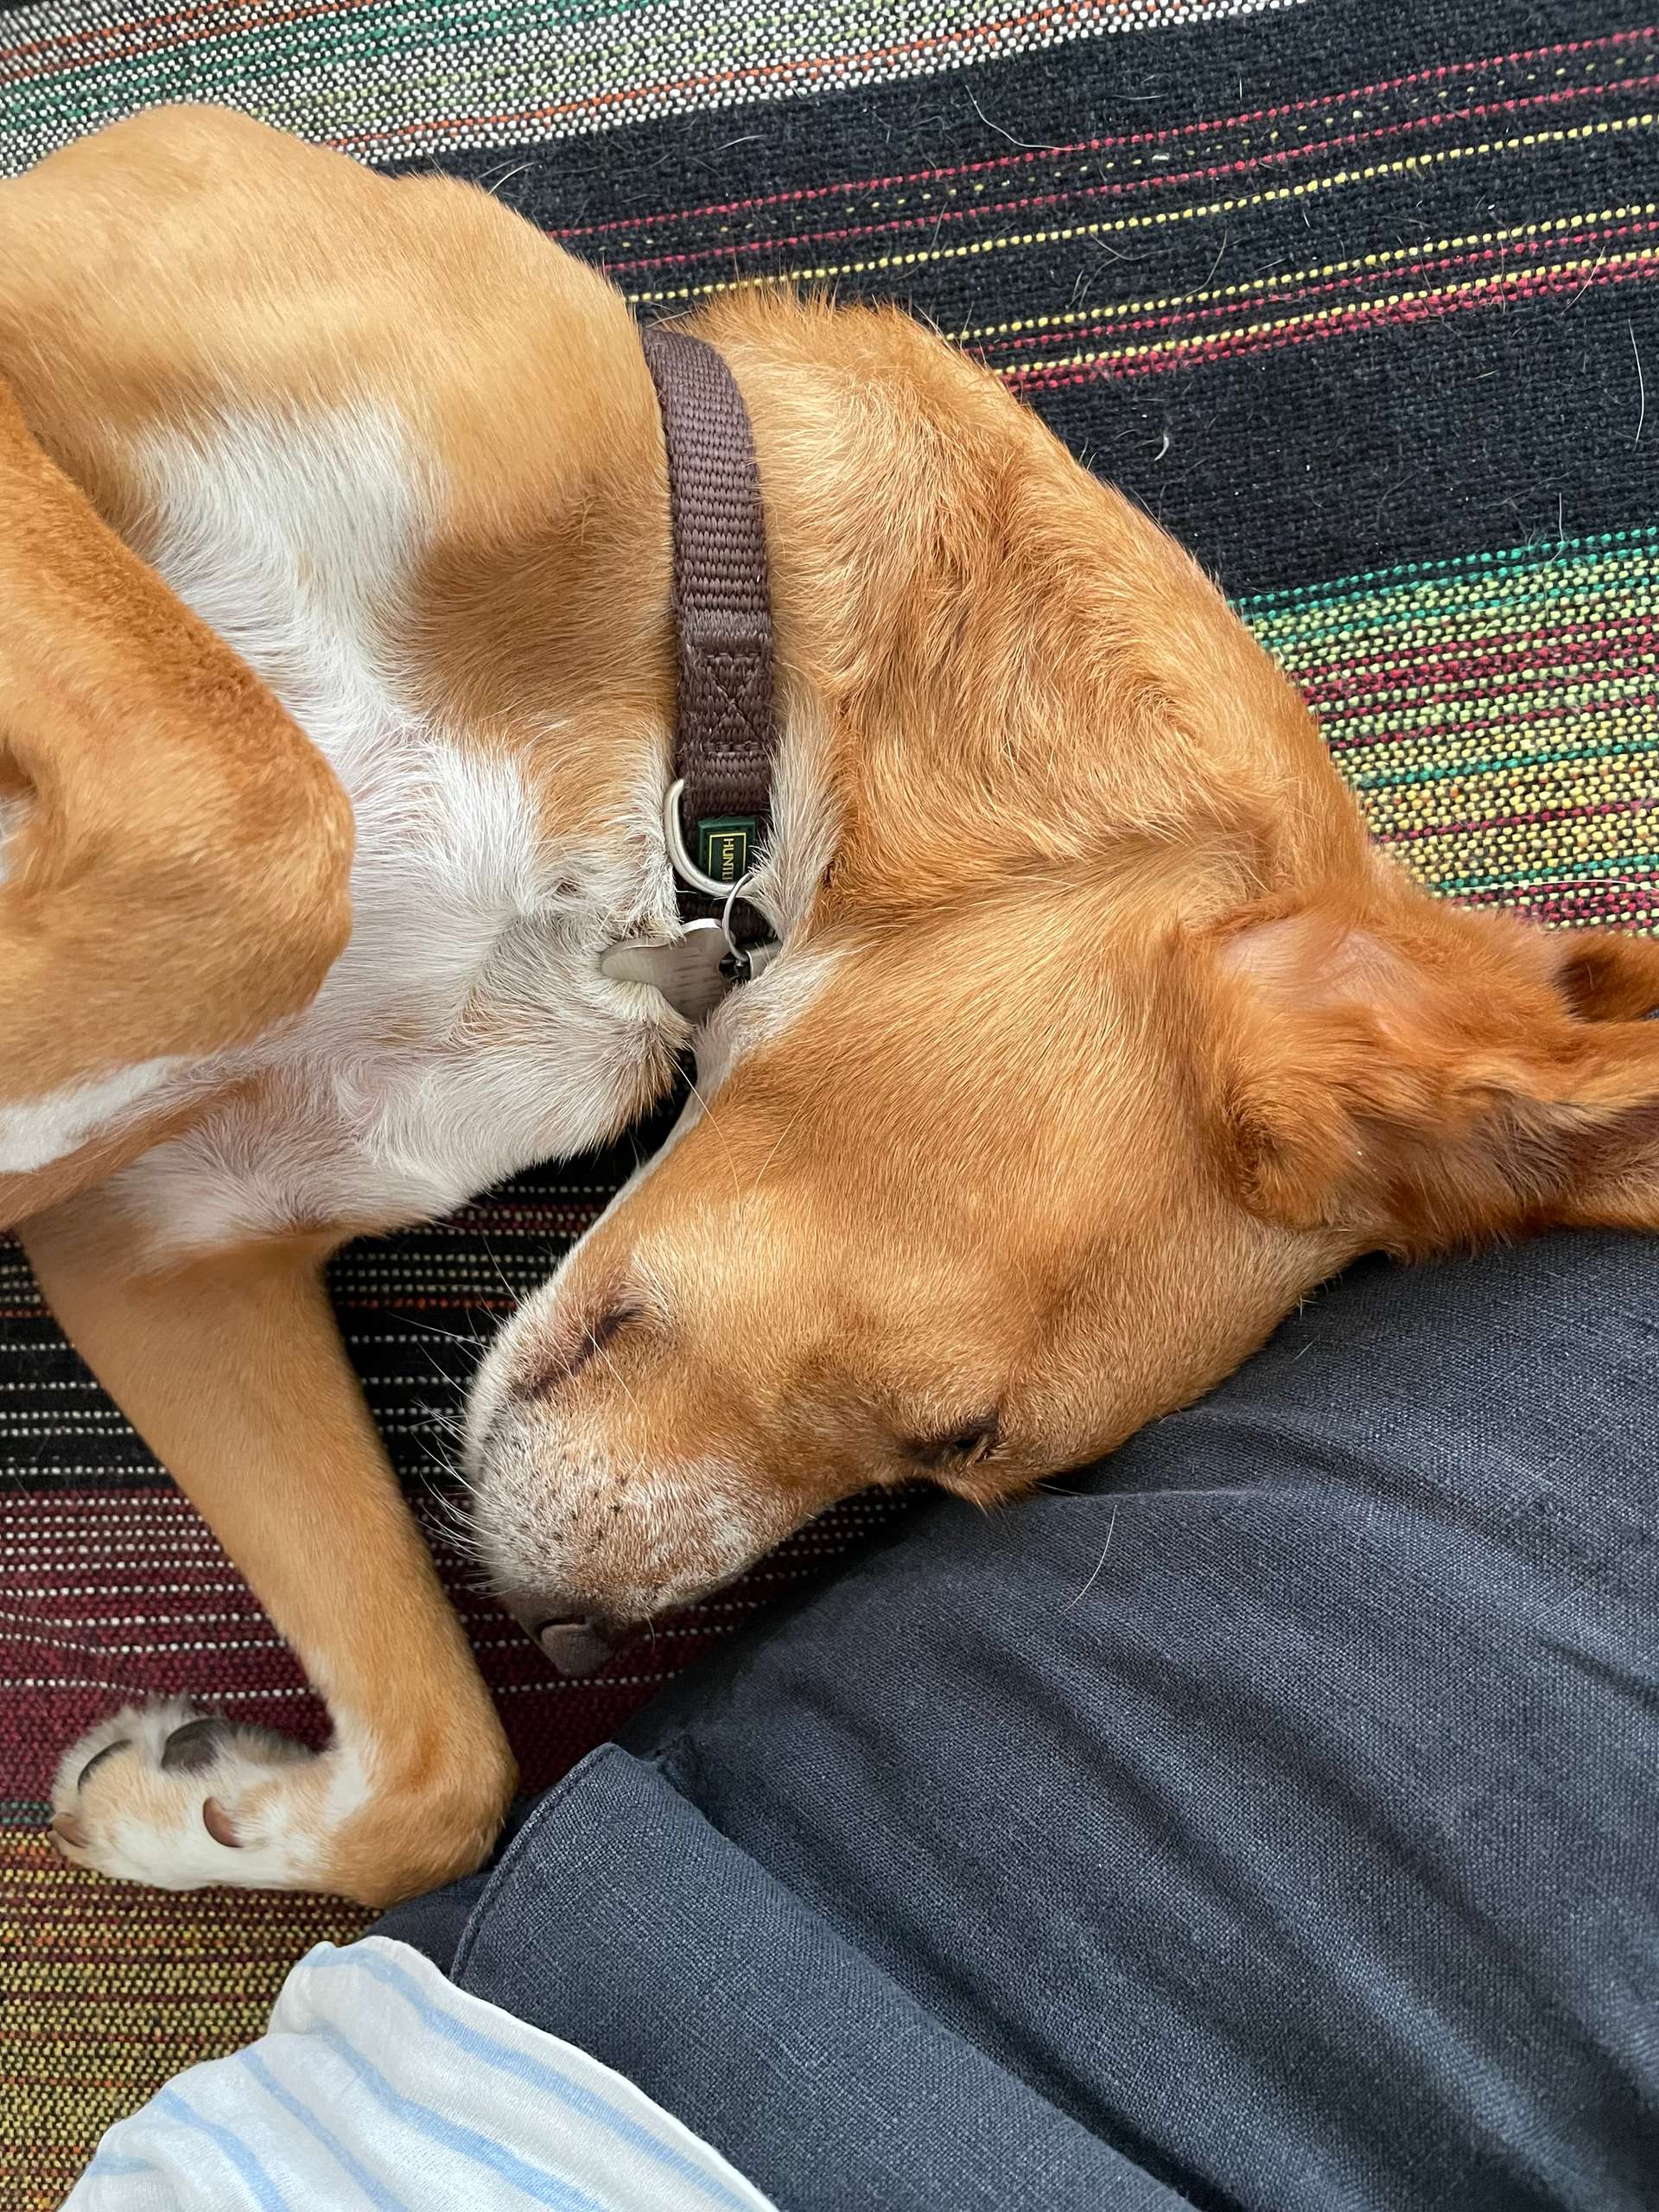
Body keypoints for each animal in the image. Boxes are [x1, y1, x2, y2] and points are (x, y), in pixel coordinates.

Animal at [3, 104, 1659, 1902]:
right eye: (970, 1433)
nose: (576, 1644)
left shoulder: (157, 1236)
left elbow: (445, 1779)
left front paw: (188, 1797)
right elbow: (262, 825)